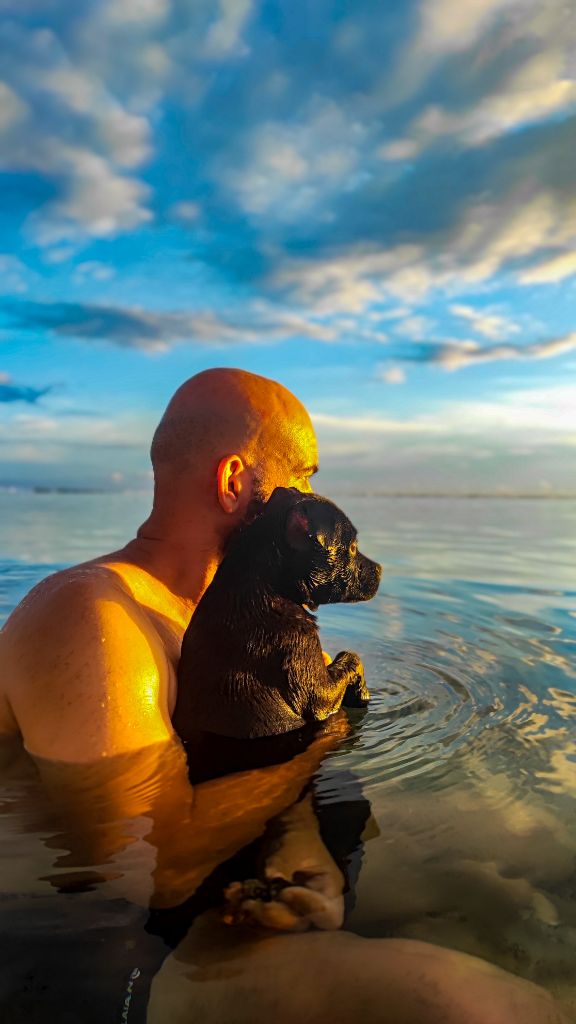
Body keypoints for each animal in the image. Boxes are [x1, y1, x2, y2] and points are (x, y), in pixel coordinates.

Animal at [173, 487, 381, 779]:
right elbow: (351, 658)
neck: (269, 588)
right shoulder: (316, 685)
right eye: (352, 547)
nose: (380, 570)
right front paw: (361, 693)